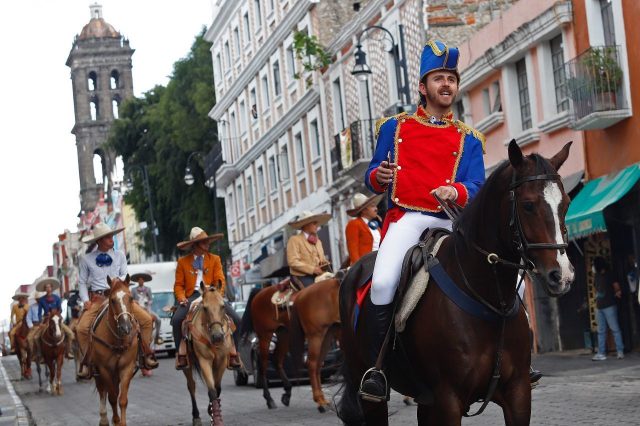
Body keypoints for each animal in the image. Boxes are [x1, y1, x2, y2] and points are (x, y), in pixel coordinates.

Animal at [90, 276, 138, 426]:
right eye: (112, 300)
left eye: (131, 298)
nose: (126, 327)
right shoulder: (104, 369)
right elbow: (111, 397)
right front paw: (116, 420)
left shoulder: (126, 368)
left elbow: (122, 399)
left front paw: (121, 422)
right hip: (99, 372)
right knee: (102, 391)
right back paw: (104, 419)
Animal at [181, 282, 231, 426]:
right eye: (205, 308)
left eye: (223, 306)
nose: (218, 336)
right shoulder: (204, 361)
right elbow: (212, 391)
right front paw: (216, 419)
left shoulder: (222, 360)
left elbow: (217, 388)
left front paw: (212, 411)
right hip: (187, 365)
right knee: (191, 386)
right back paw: (196, 417)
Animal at [340, 141, 576, 424]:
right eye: (528, 205)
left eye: (566, 203)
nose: (562, 275)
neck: (486, 298)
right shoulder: (449, 399)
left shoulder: (518, 393)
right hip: (369, 394)